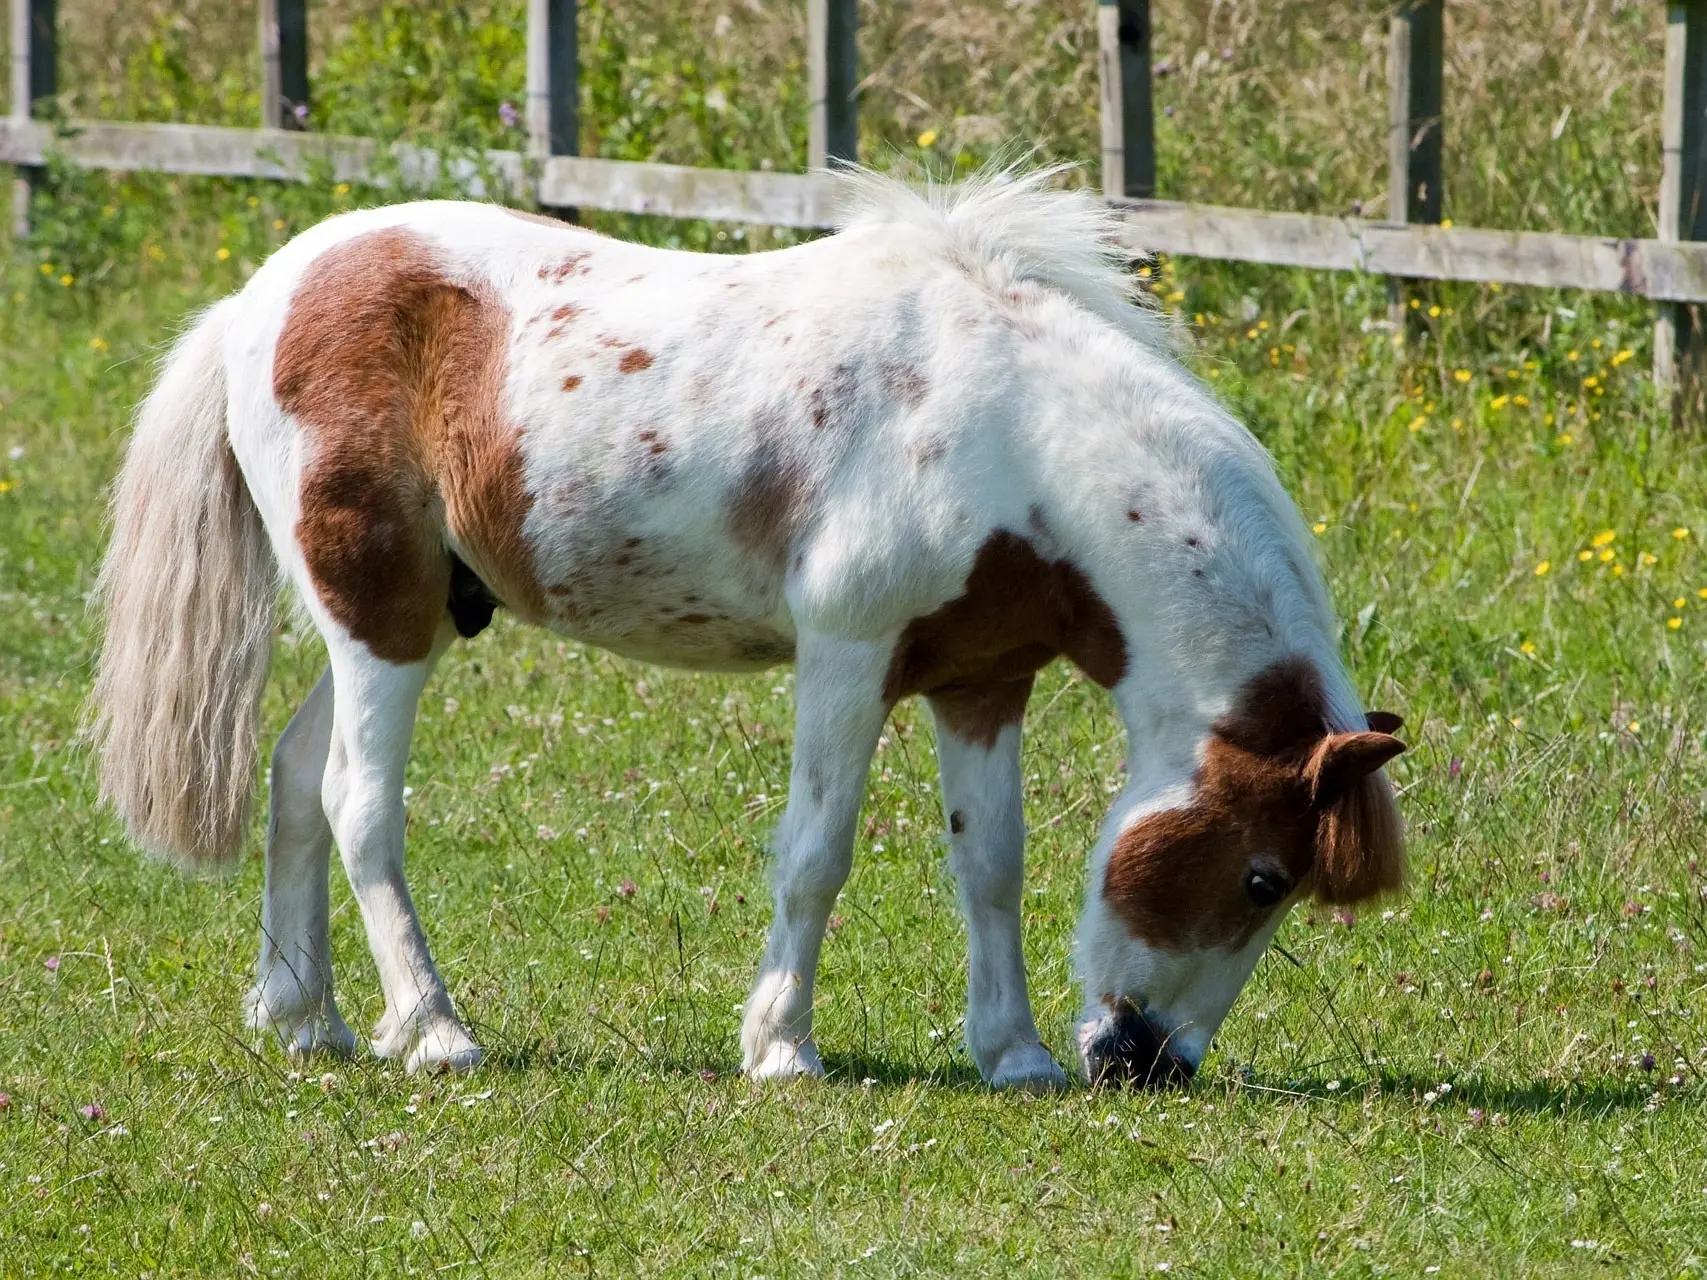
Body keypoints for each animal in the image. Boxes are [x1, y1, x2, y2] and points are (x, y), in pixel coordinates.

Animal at [86, 168, 1406, 1092]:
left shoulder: (982, 679)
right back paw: (436, 1030)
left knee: (296, 776)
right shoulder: (847, 655)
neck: (1011, 436)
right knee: (359, 803)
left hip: (396, 619)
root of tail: (260, 299)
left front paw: (1013, 1052)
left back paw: (306, 1017)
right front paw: (781, 1047)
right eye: (1261, 875)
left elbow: (992, 861)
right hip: (380, 619)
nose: (1147, 1061)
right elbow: (815, 852)